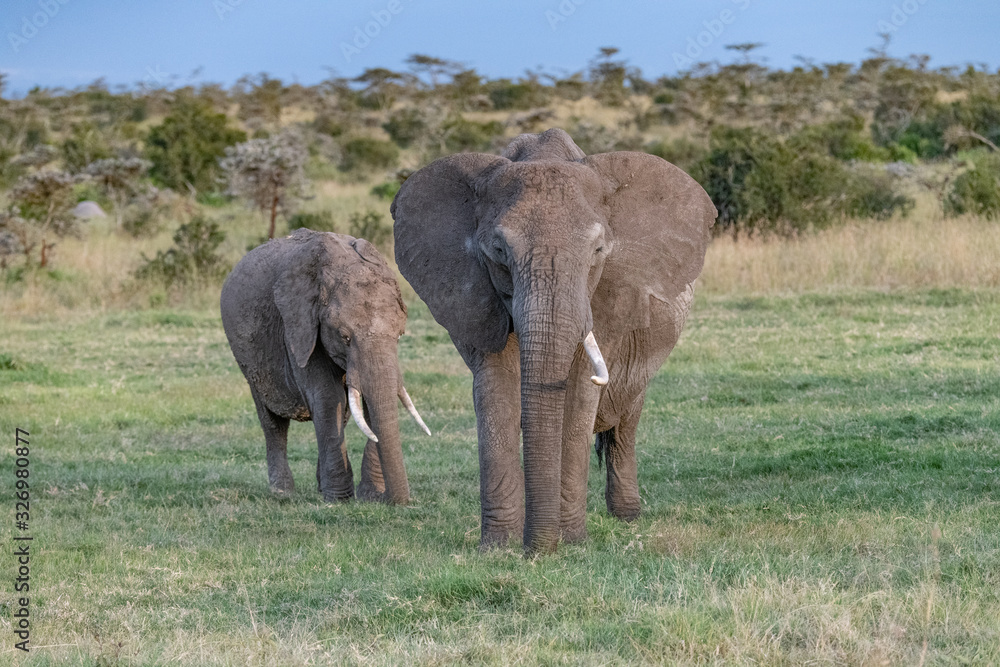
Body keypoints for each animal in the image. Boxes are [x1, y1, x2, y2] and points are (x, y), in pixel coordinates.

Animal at [220, 228, 430, 505]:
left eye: (399, 335)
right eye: (345, 337)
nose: (397, 502)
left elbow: (363, 404)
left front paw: (369, 496)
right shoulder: (299, 327)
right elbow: (328, 397)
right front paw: (339, 499)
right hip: (249, 360)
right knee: (272, 422)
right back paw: (282, 491)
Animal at [392, 128, 716, 553]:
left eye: (598, 250)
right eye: (499, 250)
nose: (537, 549)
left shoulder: (609, 293)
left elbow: (579, 395)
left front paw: (572, 542)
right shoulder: (475, 292)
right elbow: (495, 391)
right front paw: (497, 547)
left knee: (626, 419)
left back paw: (627, 516)